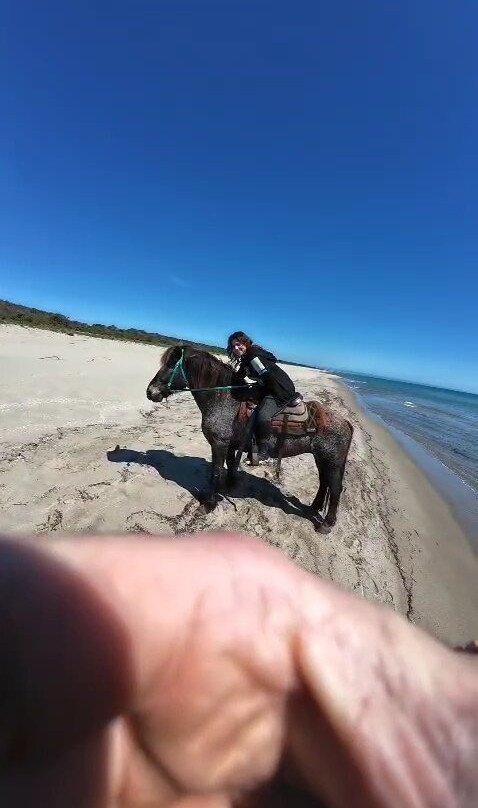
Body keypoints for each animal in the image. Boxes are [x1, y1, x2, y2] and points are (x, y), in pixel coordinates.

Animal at [146, 345, 354, 533]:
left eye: (171, 365)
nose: (150, 392)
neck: (224, 399)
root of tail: (345, 422)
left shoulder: (219, 444)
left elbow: (216, 472)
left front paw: (209, 504)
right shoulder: (229, 445)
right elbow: (230, 465)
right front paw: (229, 487)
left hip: (332, 461)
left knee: (336, 488)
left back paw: (326, 524)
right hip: (321, 458)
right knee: (324, 482)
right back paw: (314, 506)